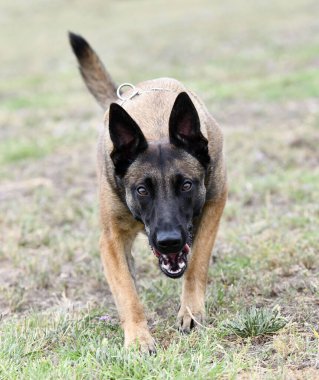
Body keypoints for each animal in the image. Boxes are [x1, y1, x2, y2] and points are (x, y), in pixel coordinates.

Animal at [68, 32, 228, 354]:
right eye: (142, 190)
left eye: (186, 185)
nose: (168, 242)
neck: (155, 127)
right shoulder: (111, 241)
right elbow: (126, 292)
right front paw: (138, 339)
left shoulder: (215, 202)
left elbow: (197, 263)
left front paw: (191, 311)